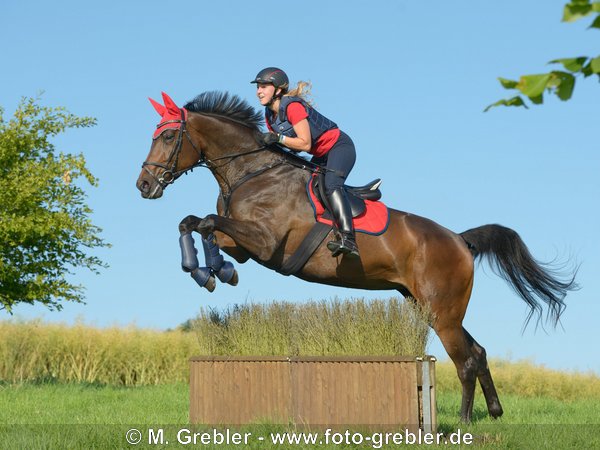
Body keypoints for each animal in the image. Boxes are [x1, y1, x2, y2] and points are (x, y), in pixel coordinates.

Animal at [135, 90, 576, 422]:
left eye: (169, 137)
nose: (143, 184)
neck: (251, 172)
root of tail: (459, 240)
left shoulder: (266, 244)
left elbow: (206, 221)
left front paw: (205, 270)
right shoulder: (244, 247)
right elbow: (198, 225)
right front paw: (212, 272)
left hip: (442, 310)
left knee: (465, 360)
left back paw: (467, 422)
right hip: (428, 305)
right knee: (478, 352)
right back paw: (495, 411)